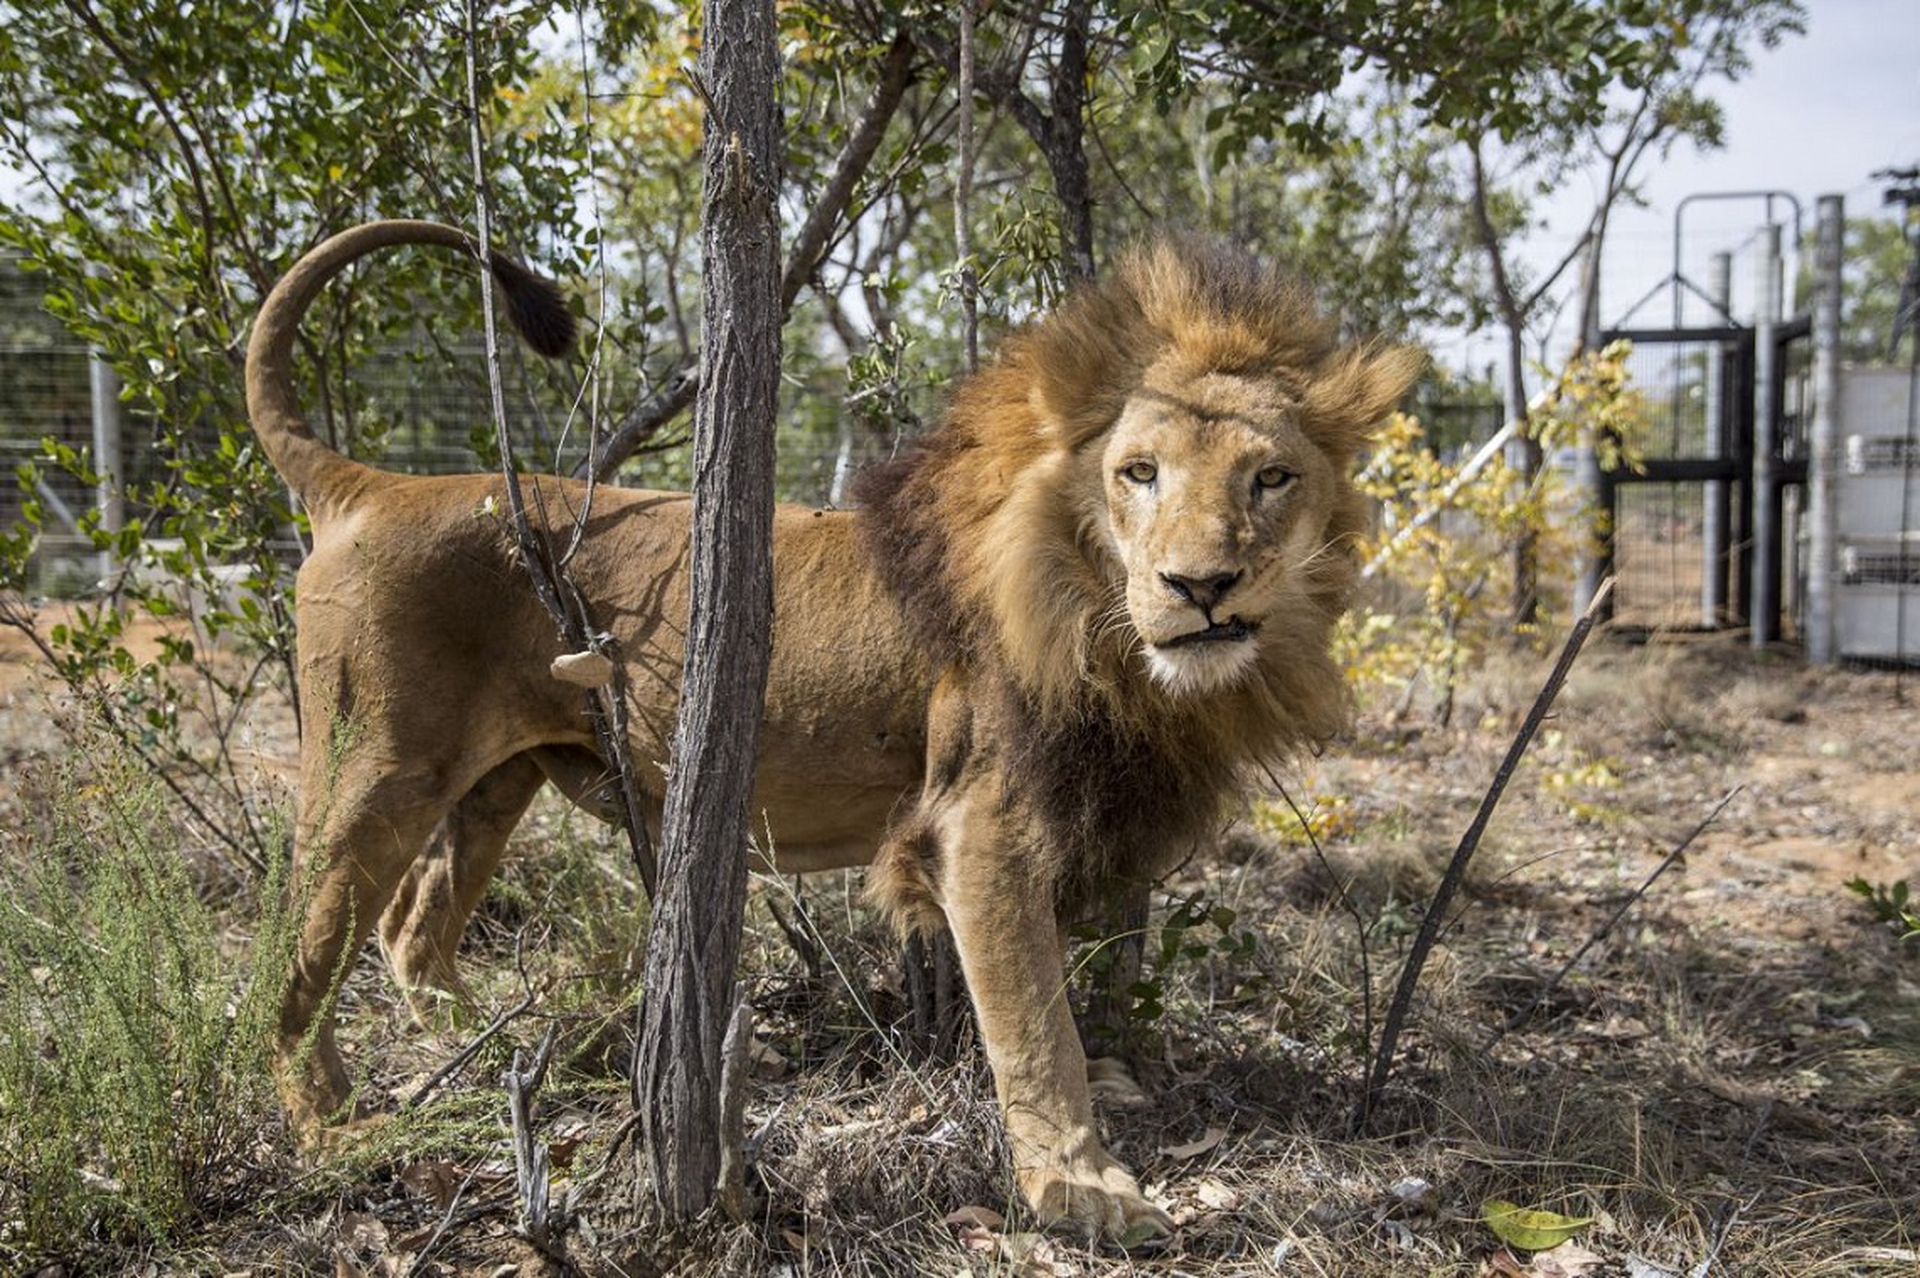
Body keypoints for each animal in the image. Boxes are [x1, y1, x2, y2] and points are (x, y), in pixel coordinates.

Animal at [247, 218, 1420, 1235]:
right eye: (1139, 473)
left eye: (1271, 478)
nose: (1201, 585)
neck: (1094, 617)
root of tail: (370, 487)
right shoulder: (980, 826)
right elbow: (1035, 1017)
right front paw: (1081, 1188)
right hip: (375, 769)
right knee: (294, 957)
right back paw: (332, 1127)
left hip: (501, 779)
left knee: (412, 932)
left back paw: (494, 1049)